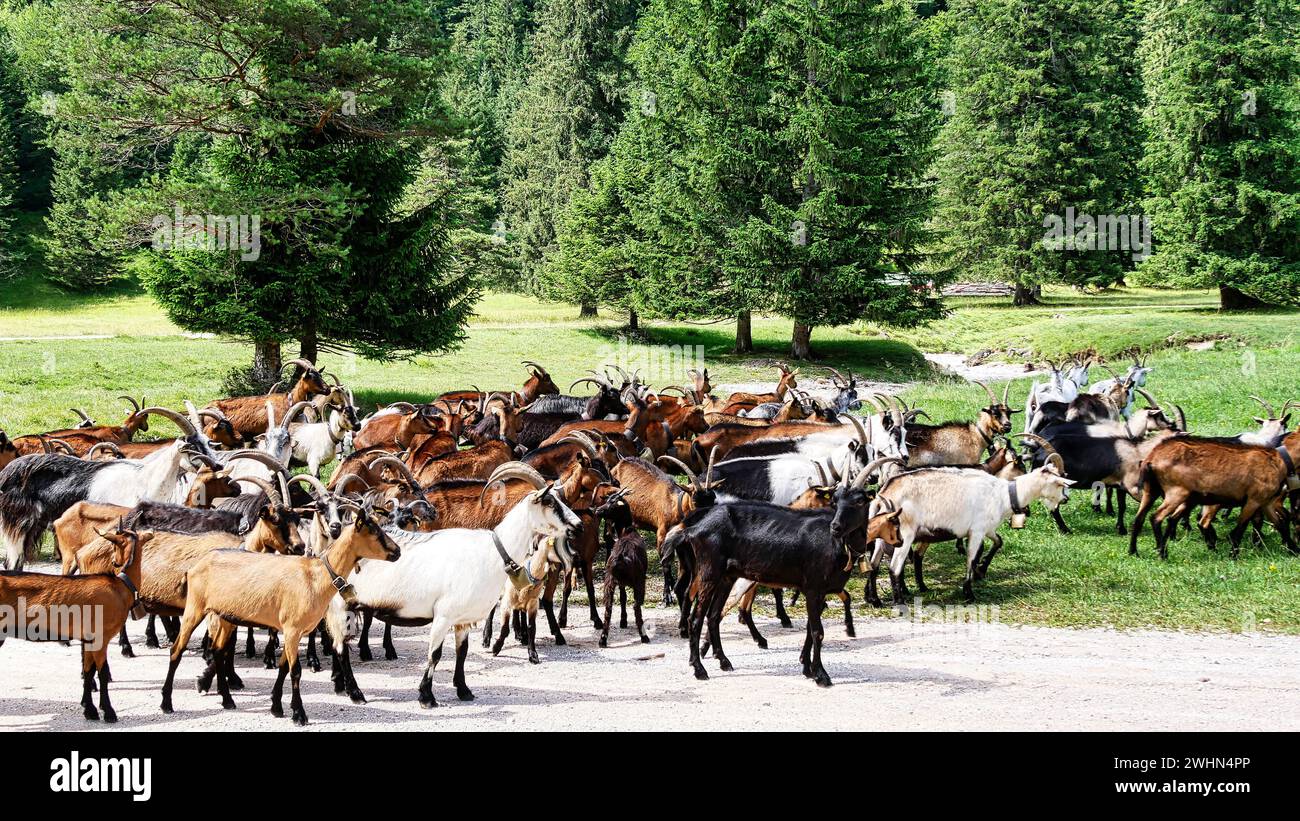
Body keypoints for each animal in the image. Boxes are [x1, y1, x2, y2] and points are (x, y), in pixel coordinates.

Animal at [0, 530, 148, 722]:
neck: (120, 586)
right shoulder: (100, 638)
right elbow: (102, 672)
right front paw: (108, 711)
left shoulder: (88, 638)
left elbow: (88, 671)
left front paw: (89, 709)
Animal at [156, 506, 392, 722]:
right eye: (375, 531)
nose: (396, 551)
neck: (317, 575)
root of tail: (194, 567)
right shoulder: (292, 629)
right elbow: (295, 670)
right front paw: (298, 714)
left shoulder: (292, 631)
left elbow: (283, 667)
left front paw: (276, 707)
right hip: (194, 608)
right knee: (177, 650)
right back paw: (166, 703)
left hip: (224, 616)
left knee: (218, 652)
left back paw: (227, 700)